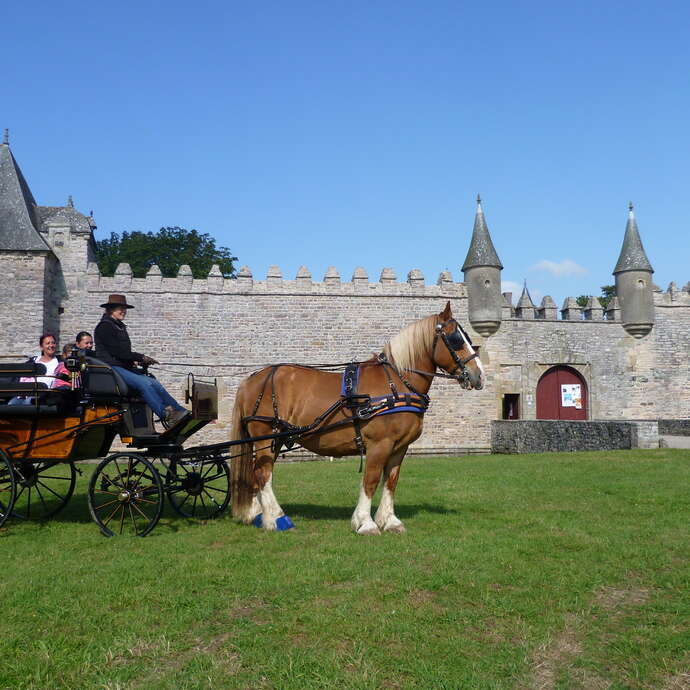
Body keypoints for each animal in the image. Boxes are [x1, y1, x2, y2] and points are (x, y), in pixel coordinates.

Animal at [228, 300, 482, 532]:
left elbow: (391, 481)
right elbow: (370, 480)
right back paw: (277, 519)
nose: (479, 375)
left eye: (470, 339)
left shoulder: (399, 447)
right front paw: (365, 523)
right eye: (456, 339)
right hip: (266, 436)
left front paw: (389, 521)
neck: (396, 384)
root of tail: (254, 378)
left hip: (276, 438)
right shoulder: (380, 444)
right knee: (263, 473)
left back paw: (259, 515)